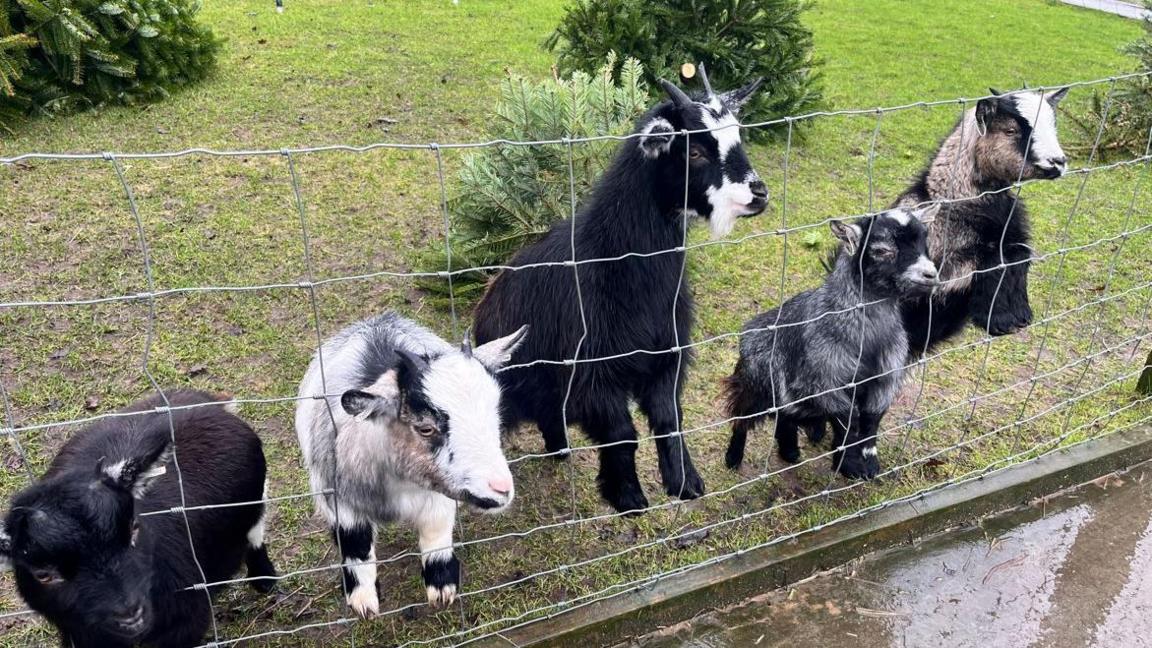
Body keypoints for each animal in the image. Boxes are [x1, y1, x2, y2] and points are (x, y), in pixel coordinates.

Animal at [0, 387, 274, 645]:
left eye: (134, 528)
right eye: (43, 575)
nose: (130, 614)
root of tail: (205, 400)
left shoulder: (186, 621)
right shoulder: (79, 633)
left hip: (255, 500)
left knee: (255, 532)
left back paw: (265, 579)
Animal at [297, 311, 529, 613]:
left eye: (496, 416)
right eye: (425, 428)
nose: (501, 488)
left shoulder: (438, 495)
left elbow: (436, 532)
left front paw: (441, 587)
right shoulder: (337, 496)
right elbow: (355, 544)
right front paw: (363, 601)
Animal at [472, 64, 769, 509]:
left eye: (738, 136)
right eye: (694, 151)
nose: (758, 194)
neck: (613, 260)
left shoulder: (665, 357)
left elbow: (669, 420)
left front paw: (685, 484)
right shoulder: (594, 373)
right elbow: (622, 435)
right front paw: (628, 497)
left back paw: (560, 449)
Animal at [723, 206, 940, 479]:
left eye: (924, 241)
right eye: (882, 250)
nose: (931, 275)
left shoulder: (884, 379)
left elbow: (871, 420)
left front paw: (869, 463)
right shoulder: (823, 382)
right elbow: (848, 420)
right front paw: (849, 464)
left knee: (785, 414)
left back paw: (790, 452)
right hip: (754, 386)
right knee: (742, 417)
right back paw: (733, 458)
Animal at [893, 85, 1064, 352]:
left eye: (1053, 125)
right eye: (1010, 130)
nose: (1058, 162)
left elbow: (1018, 256)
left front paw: (1019, 315)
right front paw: (1002, 320)